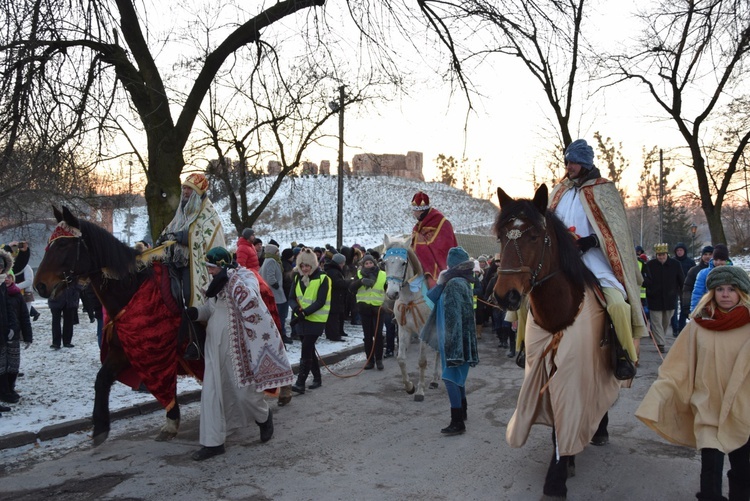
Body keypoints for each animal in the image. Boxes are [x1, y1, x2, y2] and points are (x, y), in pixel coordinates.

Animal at [34, 207, 204, 446]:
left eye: (63, 245)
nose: (39, 285)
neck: (132, 289)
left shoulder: (155, 352)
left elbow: (165, 385)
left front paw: (171, 422)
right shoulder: (122, 350)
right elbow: (102, 380)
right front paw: (100, 428)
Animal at [382, 235, 440, 402]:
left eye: (403, 263)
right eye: (384, 262)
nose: (392, 293)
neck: (410, 299)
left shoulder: (423, 331)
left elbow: (422, 361)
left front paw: (420, 391)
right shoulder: (403, 329)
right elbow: (401, 359)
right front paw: (409, 387)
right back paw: (434, 380)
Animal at [494, 185, 624, 500]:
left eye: (533, 236)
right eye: (501, 237)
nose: (506, 295)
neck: (559, 312)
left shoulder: (574, 370)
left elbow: (571, 409)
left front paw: (556, 478)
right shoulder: (542, 365)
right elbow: (557, 414)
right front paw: (565, 464)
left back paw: (600, 430)